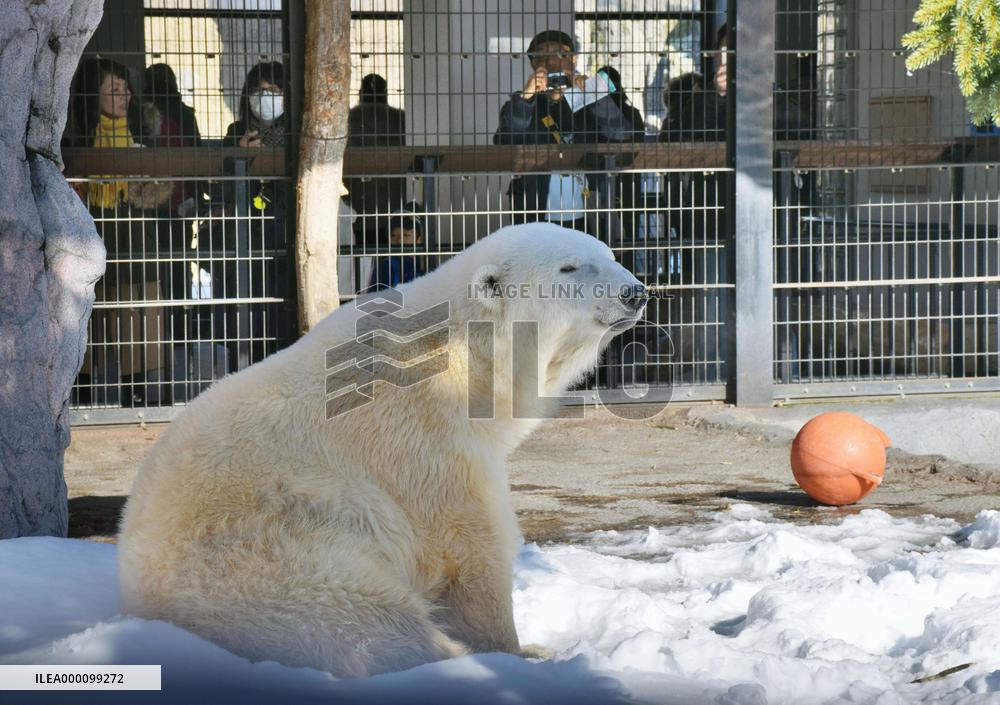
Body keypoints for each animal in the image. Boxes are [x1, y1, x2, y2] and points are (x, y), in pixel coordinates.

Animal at [117, 223, 647, 677]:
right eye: (570, 268)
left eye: (610, 255)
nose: (635, 292)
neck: (460, 358)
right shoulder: (420, 441)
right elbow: (471, 545)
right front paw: (519, 651)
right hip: (268, 564)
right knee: (373, 621)